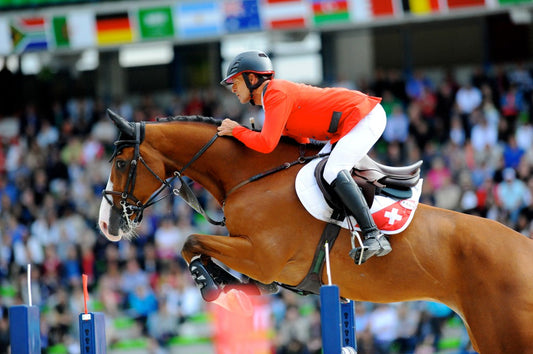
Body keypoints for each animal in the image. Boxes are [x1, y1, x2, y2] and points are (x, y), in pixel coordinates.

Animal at [97, 109, 532, 352]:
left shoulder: (262, 255)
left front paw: (213, 287)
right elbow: (201, 249)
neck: (250, 177)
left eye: (120, 163)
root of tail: (523, 247)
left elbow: (190, 242)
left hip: (504, 333)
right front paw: (233, 288)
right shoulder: (256, 257)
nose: (106, 225)